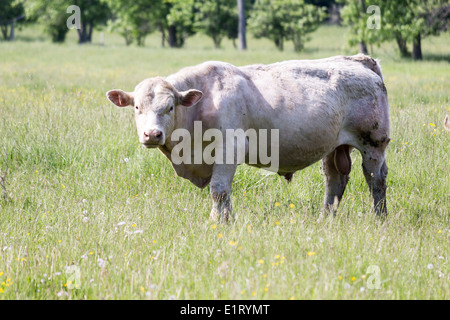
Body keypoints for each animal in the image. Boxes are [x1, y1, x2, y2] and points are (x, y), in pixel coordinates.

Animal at [106, 54, 390, 220]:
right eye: (137, 107)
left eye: (170, 107)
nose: (152, 134)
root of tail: (358, 60)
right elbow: (224, 192)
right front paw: (227, 220)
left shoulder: (228, 149)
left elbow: (219, 190)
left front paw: (216, 222)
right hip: (334, 148)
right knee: (335, 180)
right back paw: (325, 218)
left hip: (374, 143)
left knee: (375, 178)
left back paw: (379, 217)